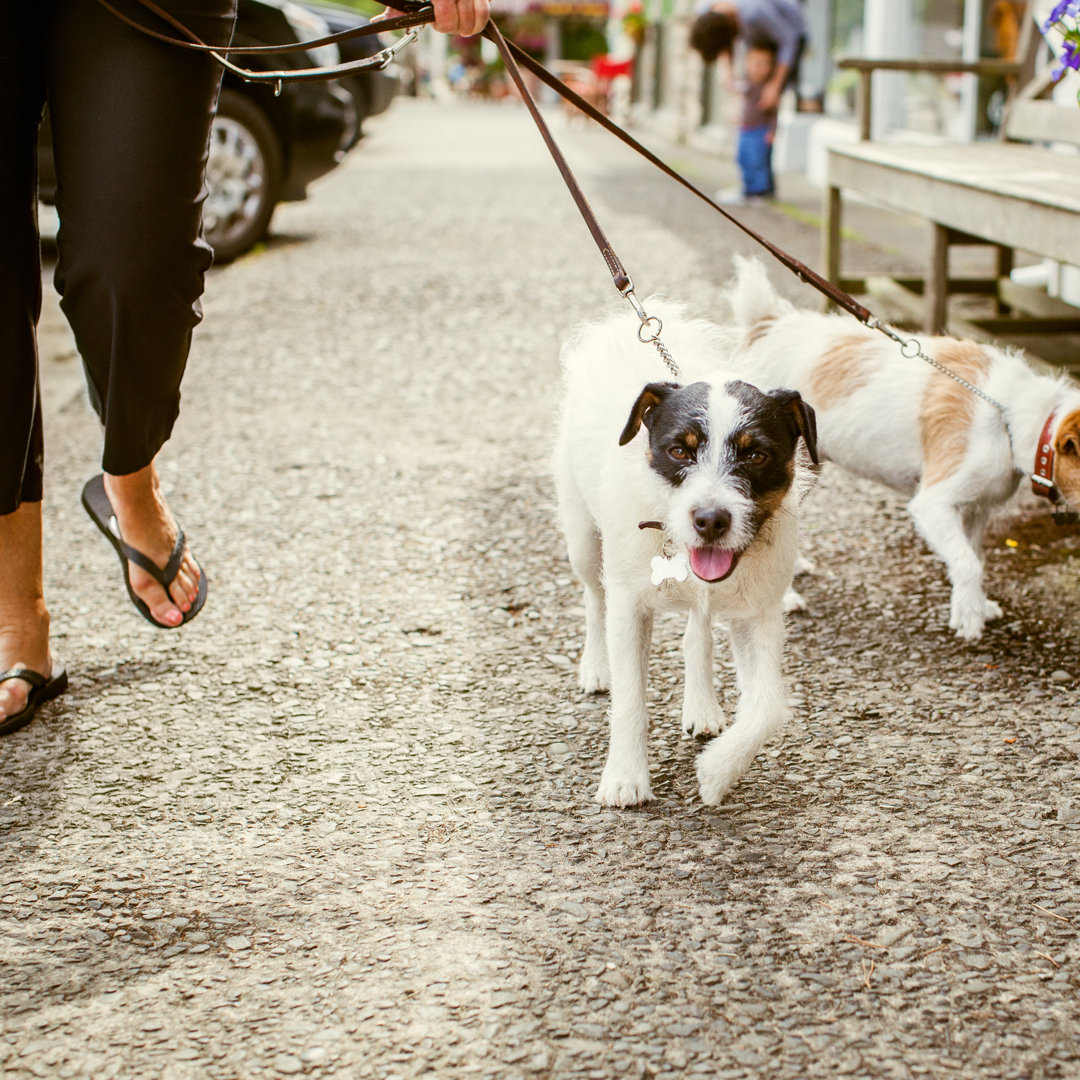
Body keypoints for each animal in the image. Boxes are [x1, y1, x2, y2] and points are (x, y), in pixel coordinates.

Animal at [557, 300, 816, 807]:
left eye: (755, 455)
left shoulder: (758, 613)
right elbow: (630, 699)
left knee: (697, 634)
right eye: (679, 450)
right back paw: (595, 666)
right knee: (593, 598)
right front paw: (625, 777)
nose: (711, 520)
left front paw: (717, 772)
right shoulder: (629, 607)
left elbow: (769, 706)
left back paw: (702, 707)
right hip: (583, 540)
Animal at [721, 255, 1080, 635]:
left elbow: (974, 557)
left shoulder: (974, 510)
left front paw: (977, 604)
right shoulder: (934, 504)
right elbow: (968, 562)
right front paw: (969, 619)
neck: (1008, 413)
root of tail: (768, 324)